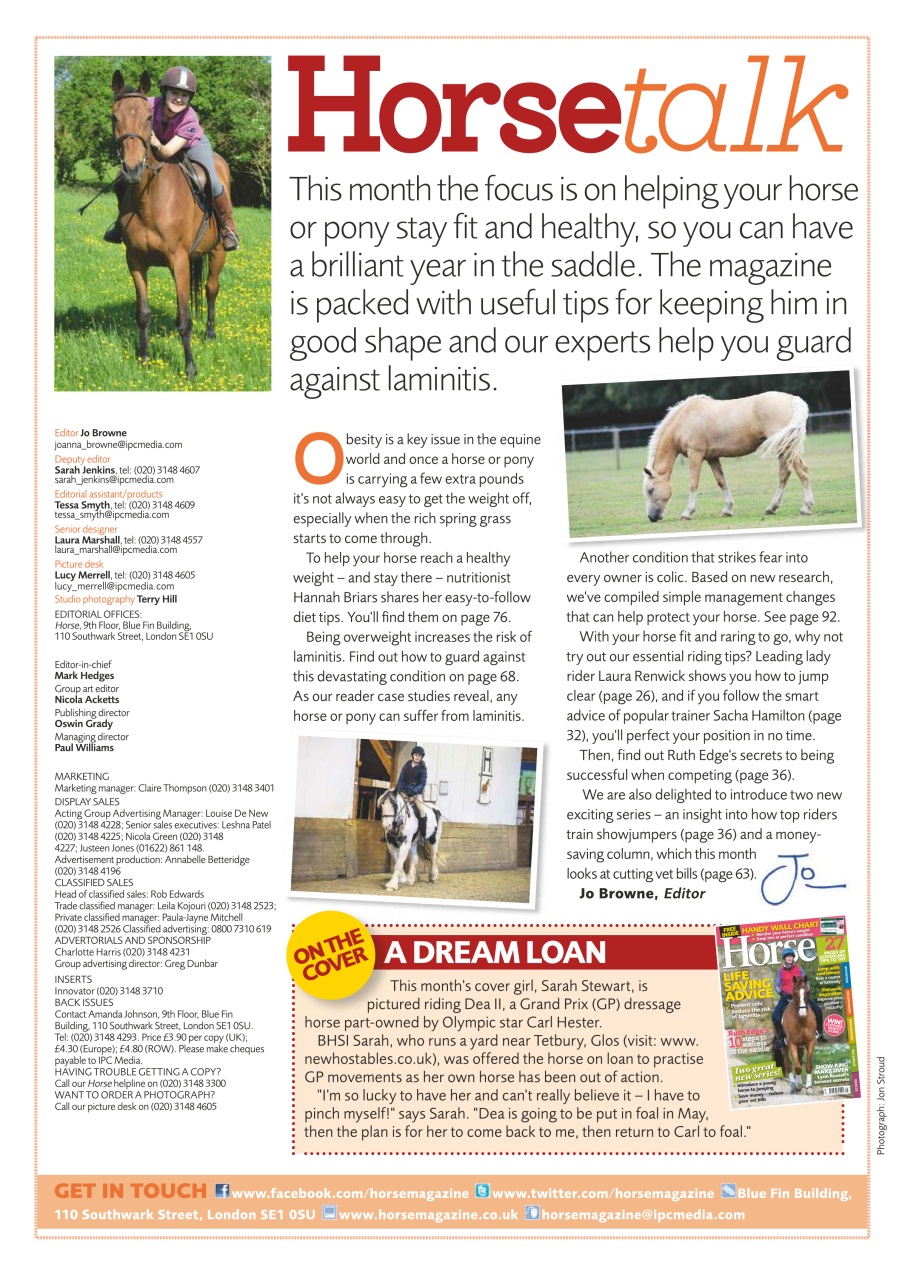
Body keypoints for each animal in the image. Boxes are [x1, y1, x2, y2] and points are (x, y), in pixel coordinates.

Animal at [110, 71, 228, 380]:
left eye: (148, 117)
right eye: (114, 116)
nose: (132, 170)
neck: (149, 199)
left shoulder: (179, 261)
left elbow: (184, 319)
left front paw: (190, 367)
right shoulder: (135, 261)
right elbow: (143, 314)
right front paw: (144, 358)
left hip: (218, 252)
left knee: (211, 289)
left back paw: (210, 334)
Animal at [642, 392, 814, 522]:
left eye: (650, 490)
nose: (652, 517)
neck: (684, 420)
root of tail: (792, 399)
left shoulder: (695, 454)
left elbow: (693, 483)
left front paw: (687, 512)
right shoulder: (712, 457)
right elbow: (721, 481)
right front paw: (727, 509)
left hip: (787, 447)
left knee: (802, 471)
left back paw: (806, 507)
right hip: (782, 448)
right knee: (784, 474)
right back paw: (772, 507)